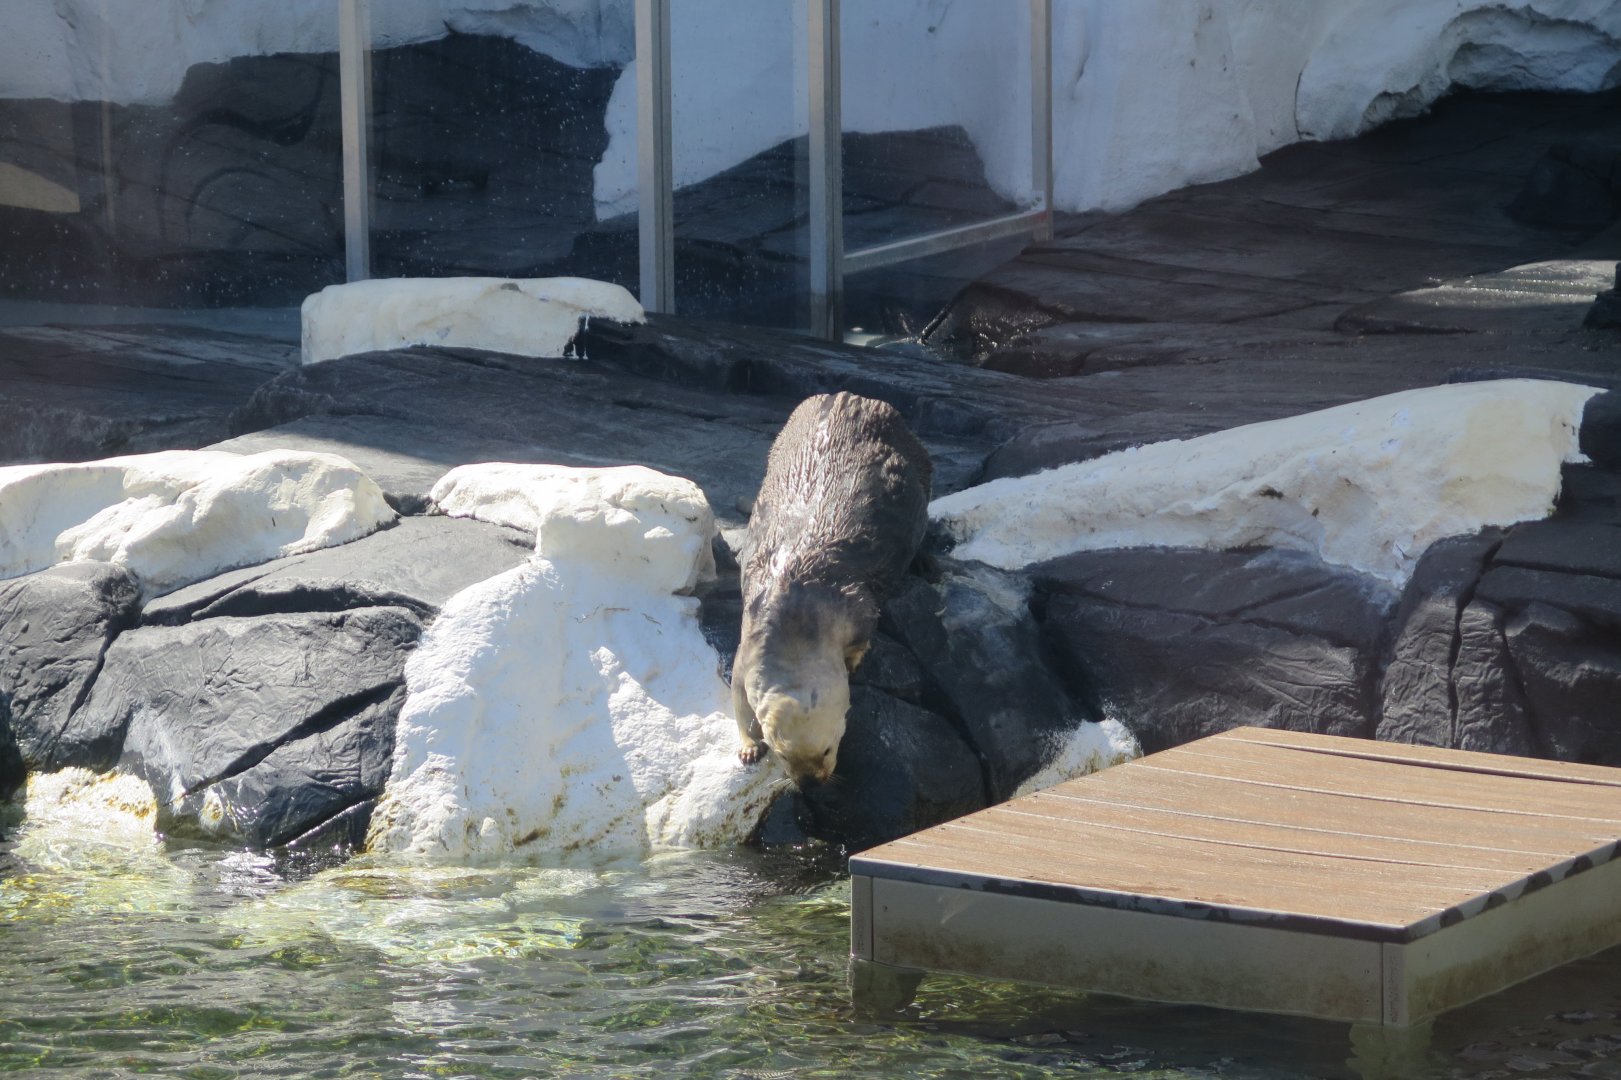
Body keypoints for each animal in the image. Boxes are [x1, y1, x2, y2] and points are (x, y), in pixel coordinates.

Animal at [733, 392, 932, 786]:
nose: (810, 781)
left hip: (920, 461)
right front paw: (748, 747)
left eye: (827, 749)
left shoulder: (859, 610)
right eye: (782, 755)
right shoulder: (746, 651)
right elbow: (736, 699)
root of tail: (854, 396)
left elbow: (861, 643)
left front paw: (854, 664)